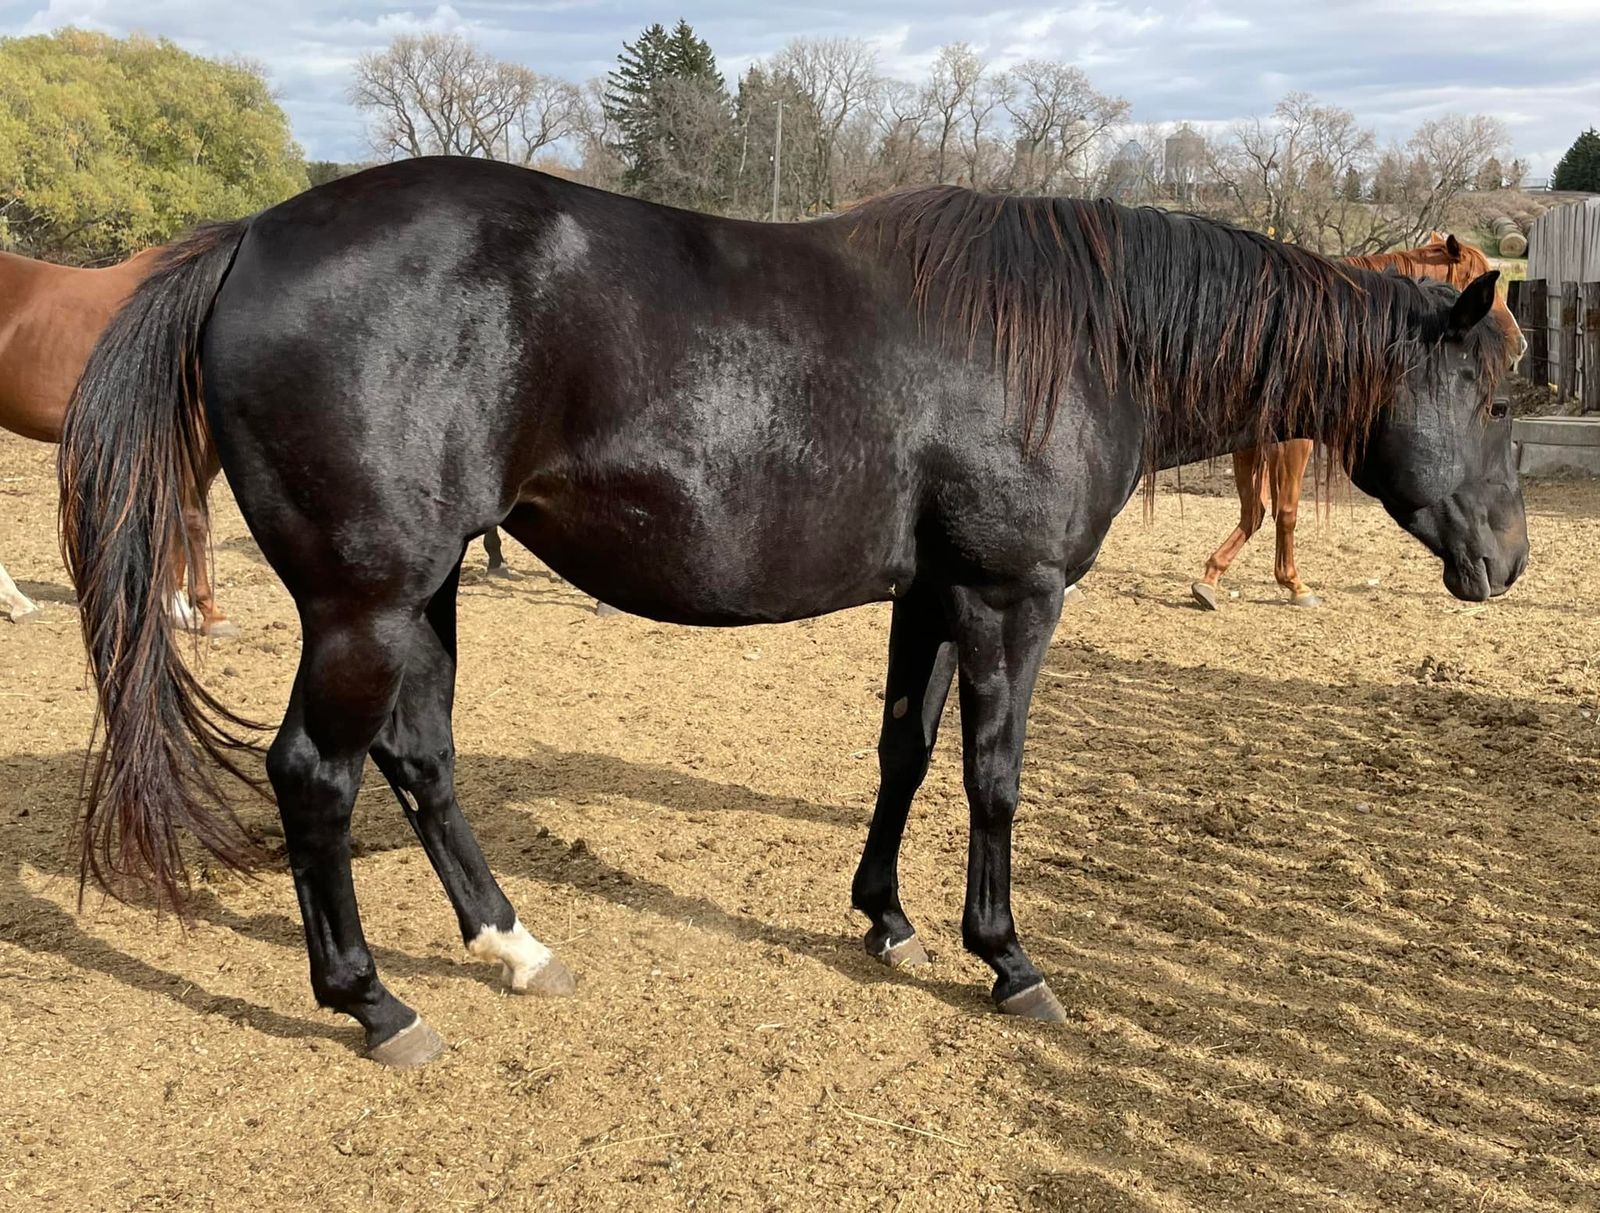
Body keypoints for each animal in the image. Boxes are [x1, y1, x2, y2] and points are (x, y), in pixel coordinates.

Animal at [1190, 232, 1526, 610]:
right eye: (1481, 282)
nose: (1519, 343)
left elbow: (1255, 508)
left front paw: (1213, 576)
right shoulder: (1291, 443)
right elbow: (1283, 510)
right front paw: (1292, 583)